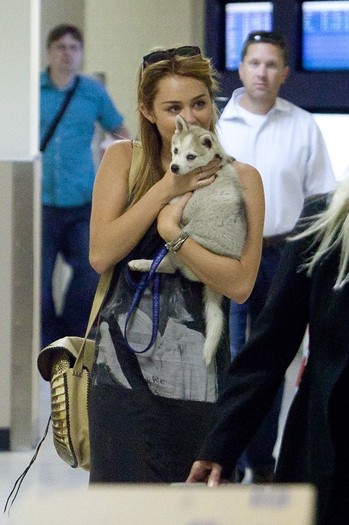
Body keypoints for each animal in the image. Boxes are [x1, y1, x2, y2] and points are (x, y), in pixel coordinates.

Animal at [127, 115, 245, 364]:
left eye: (191, 156)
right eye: (175, 150)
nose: (174, 167)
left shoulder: (188, 200)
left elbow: (174, 202)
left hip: (190, 248)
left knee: (172, 265)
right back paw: (141, 264)